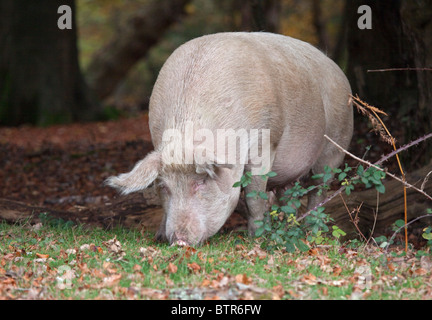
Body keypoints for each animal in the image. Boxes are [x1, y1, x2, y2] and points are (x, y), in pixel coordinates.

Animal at [106, 31, 352, 245]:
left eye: (201, 182)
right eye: (164, 186)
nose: (179, 241)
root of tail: (337, 69)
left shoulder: (265, 144)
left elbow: (254, 197)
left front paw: (256, 238)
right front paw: (158, 237)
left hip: (336, 144)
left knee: (319, 189)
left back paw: (310, 231)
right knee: (290, 194)